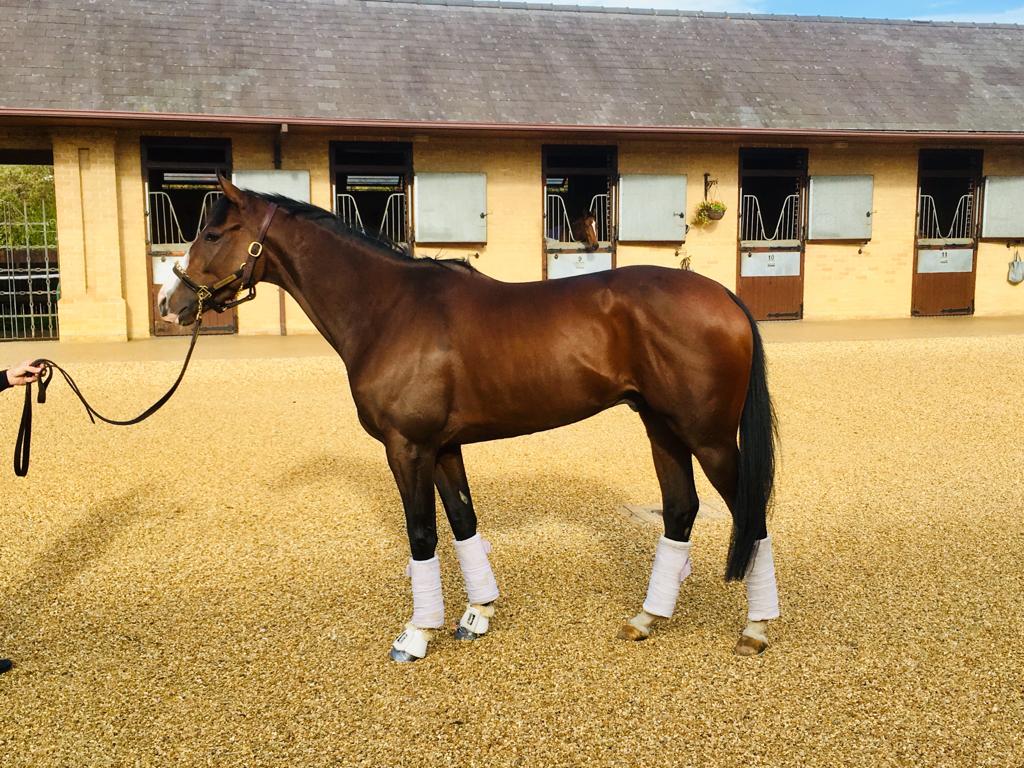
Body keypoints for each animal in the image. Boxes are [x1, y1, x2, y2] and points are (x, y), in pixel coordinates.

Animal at [157, 176, 780, 662]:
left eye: (212, 234)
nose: (171, 303)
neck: (390, 309)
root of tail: (724, 296)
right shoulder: (443, 447)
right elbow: (462, 520)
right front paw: (477, 614)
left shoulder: (407, 447)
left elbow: (423, 533)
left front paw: (416, 633)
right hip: (662, 428)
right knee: (680, 510)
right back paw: (647, 619)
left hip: (709, 437)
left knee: (750, 512)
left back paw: (755, 628)